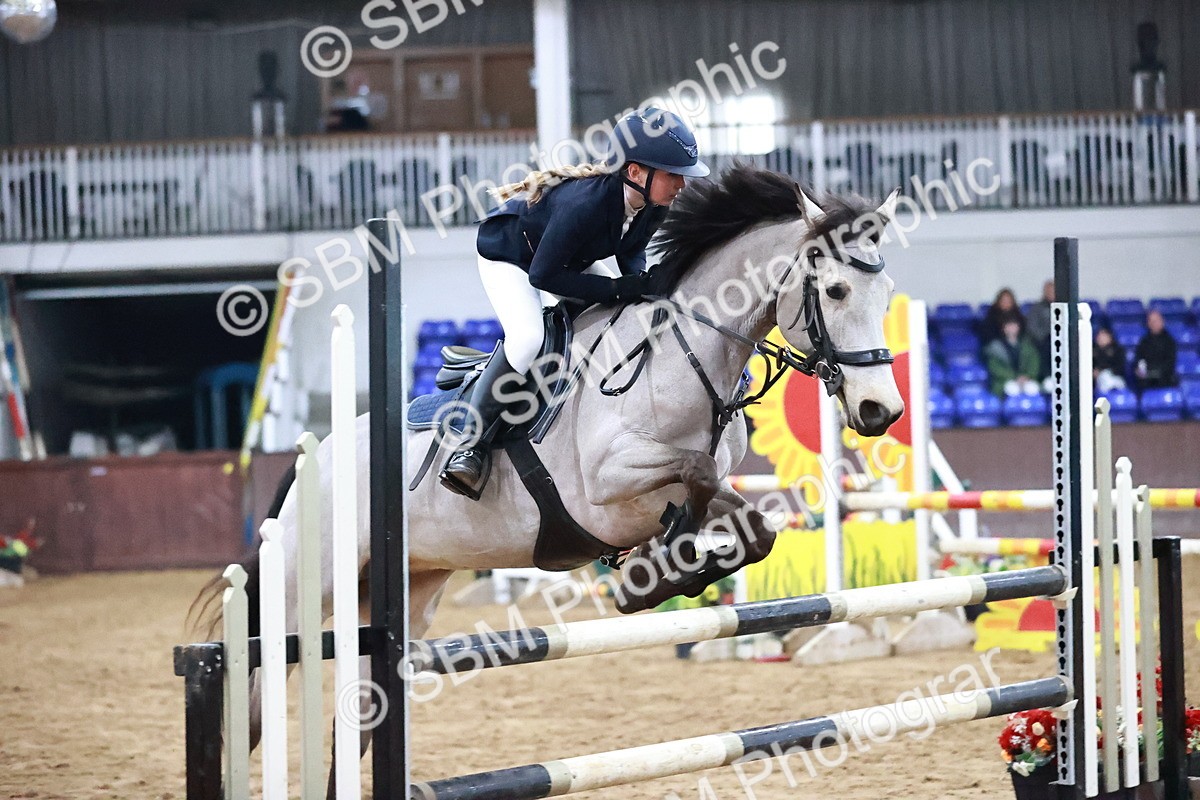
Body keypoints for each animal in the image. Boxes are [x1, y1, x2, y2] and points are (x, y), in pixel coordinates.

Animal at [191, 164, 905, 793]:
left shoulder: (705, 489)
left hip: (409, 592)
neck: (683, 353)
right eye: (836, 291)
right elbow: (695, 474)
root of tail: (314, 454)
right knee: (254, 698)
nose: (881, 412)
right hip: (303, 592)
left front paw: (667, 572)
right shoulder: (607, 486)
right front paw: (653, 575)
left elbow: (749, 523)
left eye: (888, 295)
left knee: (359, 714)